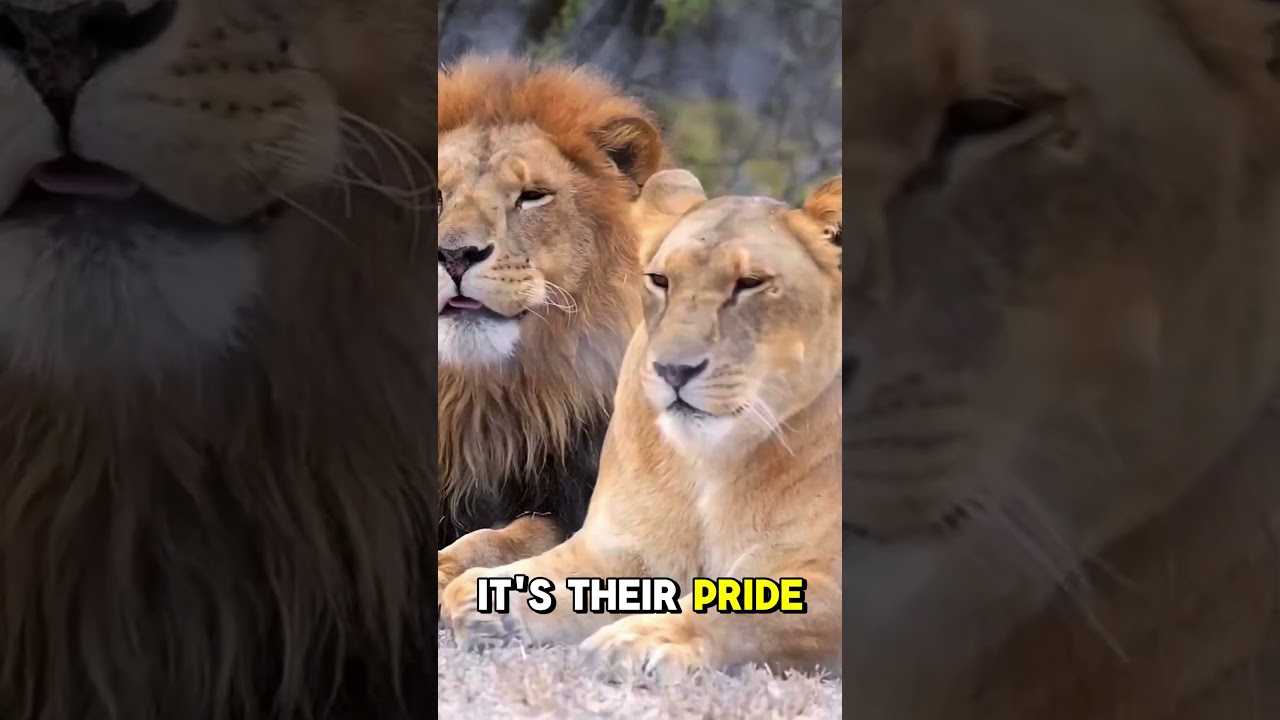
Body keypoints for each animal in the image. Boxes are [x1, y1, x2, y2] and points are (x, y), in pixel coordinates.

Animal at [441, 170, 844, 680]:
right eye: (660, 281)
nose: (674, 370)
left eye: (751, 284)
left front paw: (642, 639)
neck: (710, 463)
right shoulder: (621, 550)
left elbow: (741, 609)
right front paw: (485, 604)